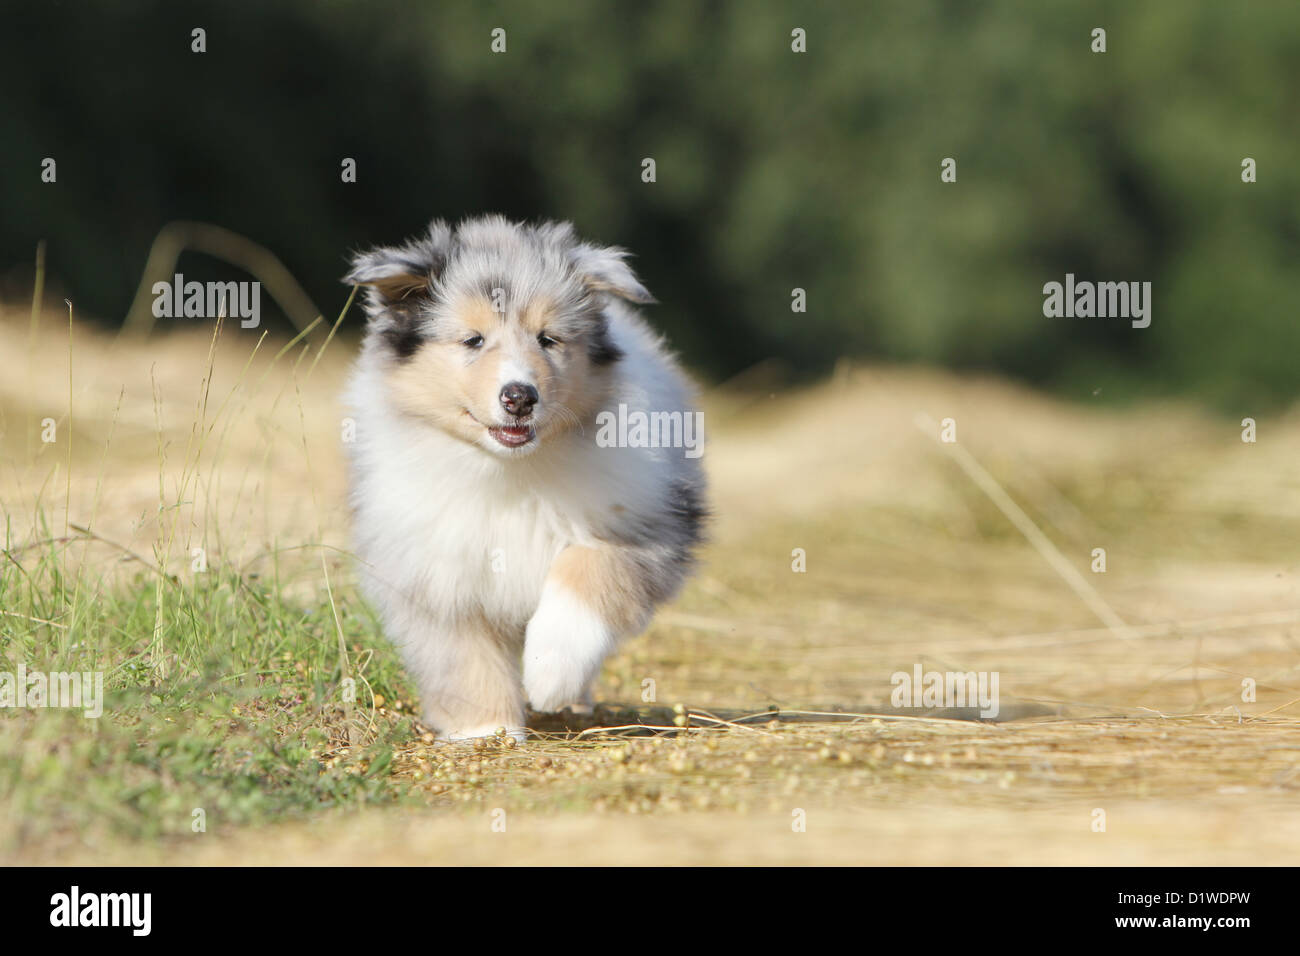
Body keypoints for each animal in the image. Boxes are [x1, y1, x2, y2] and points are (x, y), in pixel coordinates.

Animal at [340, 214, 707, 738]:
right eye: (473, 340)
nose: (519, 397)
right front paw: (485, 730)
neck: (506, 469)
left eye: (548, 339)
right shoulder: (434, 568)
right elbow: (461, 653)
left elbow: (586, 573)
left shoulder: (643, 524)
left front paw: (550, 674)